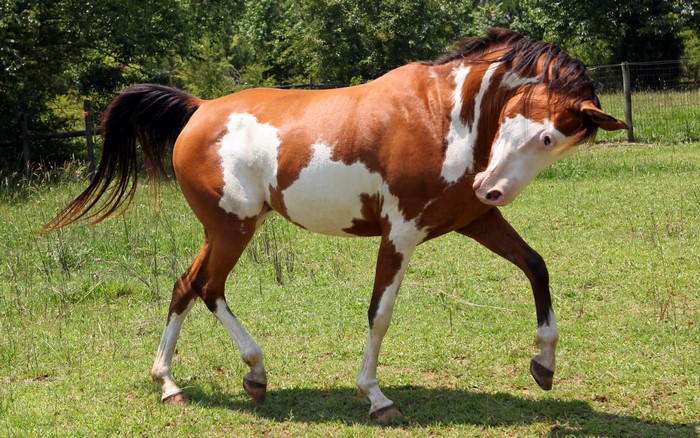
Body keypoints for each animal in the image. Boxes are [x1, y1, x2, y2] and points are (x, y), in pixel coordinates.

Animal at [44, 28, 627, 422]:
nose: (492, 187)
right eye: (541, 134)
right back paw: (254, 371)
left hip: (223, 229)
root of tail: (199, 107)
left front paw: (544, 366)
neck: (444, 116)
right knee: (208, 287)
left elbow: (536, 267)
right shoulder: (402, 233)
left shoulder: (477, 220)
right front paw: (376, 397)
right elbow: (379, 314)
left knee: (185, 285)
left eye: (557, 143)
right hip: (233, 229)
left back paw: (170, 384)